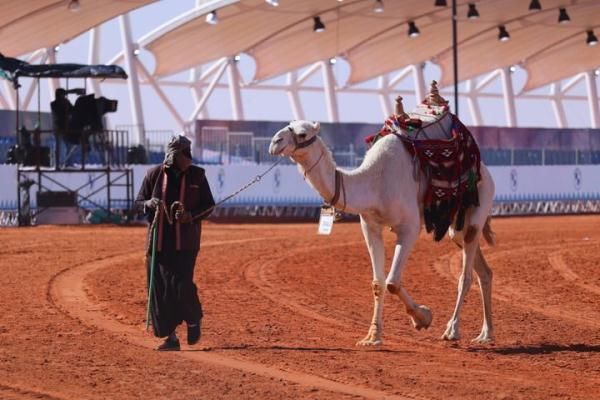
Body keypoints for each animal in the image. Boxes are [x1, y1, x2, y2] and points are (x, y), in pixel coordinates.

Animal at [270, 92, 494, 346]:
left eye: (302, 133)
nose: (275, 142)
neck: (374, 182)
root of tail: (485, 171)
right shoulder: (370, 226)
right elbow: (378, 283)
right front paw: (372, 336)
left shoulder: (410, 227)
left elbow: (392, 281)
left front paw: (423, 318)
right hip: (455, 226)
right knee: (482, 270)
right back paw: (486, 334)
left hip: (479, 206)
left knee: (466, 274)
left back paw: (453, 330)